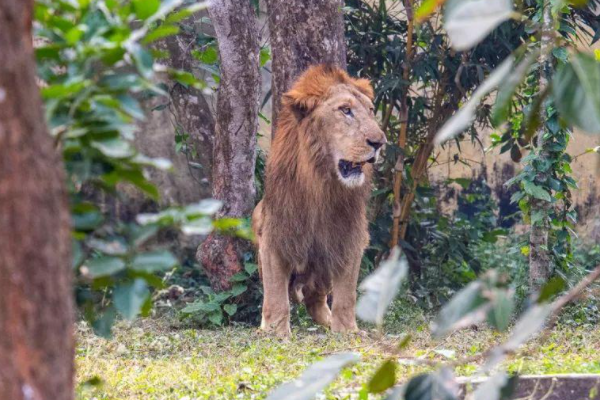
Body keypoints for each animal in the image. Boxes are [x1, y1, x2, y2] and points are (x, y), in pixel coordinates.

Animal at [252, 64, 384, 336]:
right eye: (345, 110)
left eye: (370, 110)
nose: (379, 142)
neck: (322, 184)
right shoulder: (274, 234)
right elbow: (276, 294)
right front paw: (276, 332)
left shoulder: (349, 237)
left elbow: (346, 295)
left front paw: (347, 331)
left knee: (316, 299)